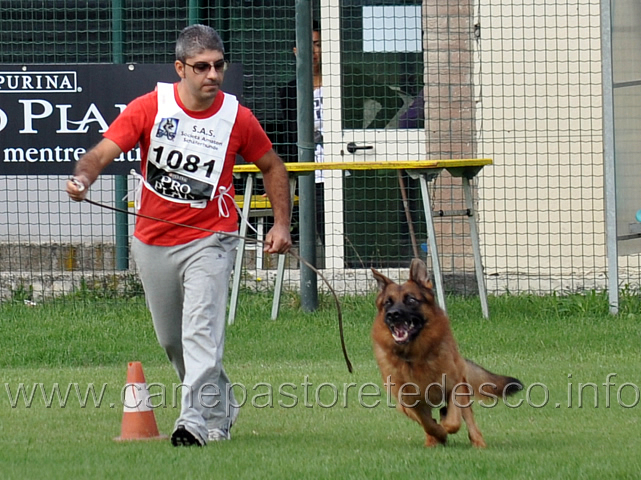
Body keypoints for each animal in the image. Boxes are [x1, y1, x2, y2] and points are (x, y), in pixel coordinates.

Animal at [370, 258, 520, 446]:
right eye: (387, 303)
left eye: (410, 300)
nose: (392, 314)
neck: (415, 356)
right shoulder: (408, 402)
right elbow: (427, 424)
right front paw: (438, 434)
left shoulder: (455, 387)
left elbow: (453, 422)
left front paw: (445, 428)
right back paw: (433, 440)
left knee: (468, 419)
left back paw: (478, 442)